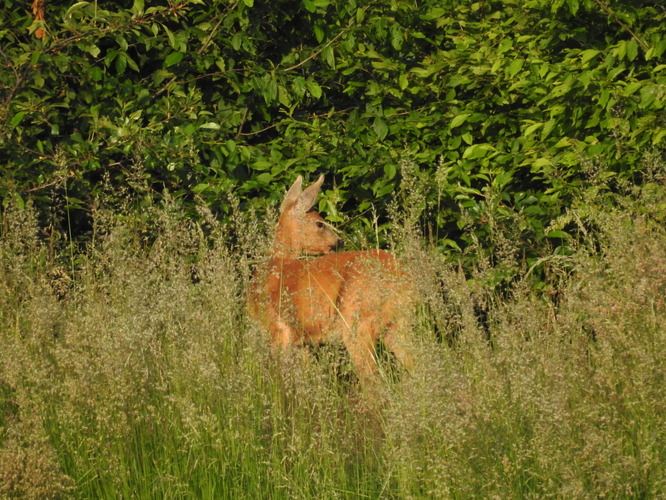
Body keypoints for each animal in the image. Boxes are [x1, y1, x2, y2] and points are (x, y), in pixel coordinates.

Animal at [248, 174, 412, 388]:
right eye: (320, 223)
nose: (338, 242)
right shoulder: (300, 341)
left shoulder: (279, 330)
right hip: (397, 322)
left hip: (357, 322)